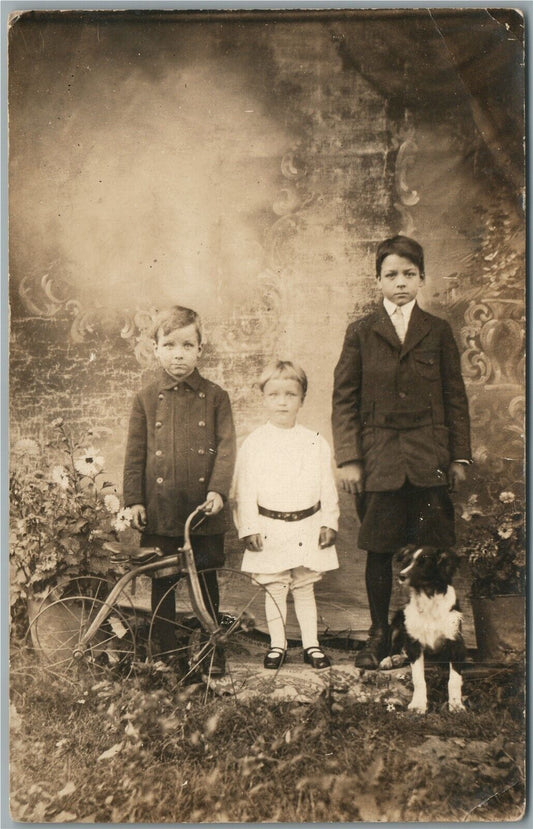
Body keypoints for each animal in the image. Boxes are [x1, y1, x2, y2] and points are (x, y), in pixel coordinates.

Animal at [388, 544, 464, 712]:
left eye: (424, 562)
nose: (401, 576)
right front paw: (418, 704)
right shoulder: (414, 642)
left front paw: (456, 704)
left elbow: (454, 679)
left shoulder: (455, 641)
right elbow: (418, 679)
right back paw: (392, 659)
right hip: (398, 620)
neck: (428, 597)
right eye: (408, 561)